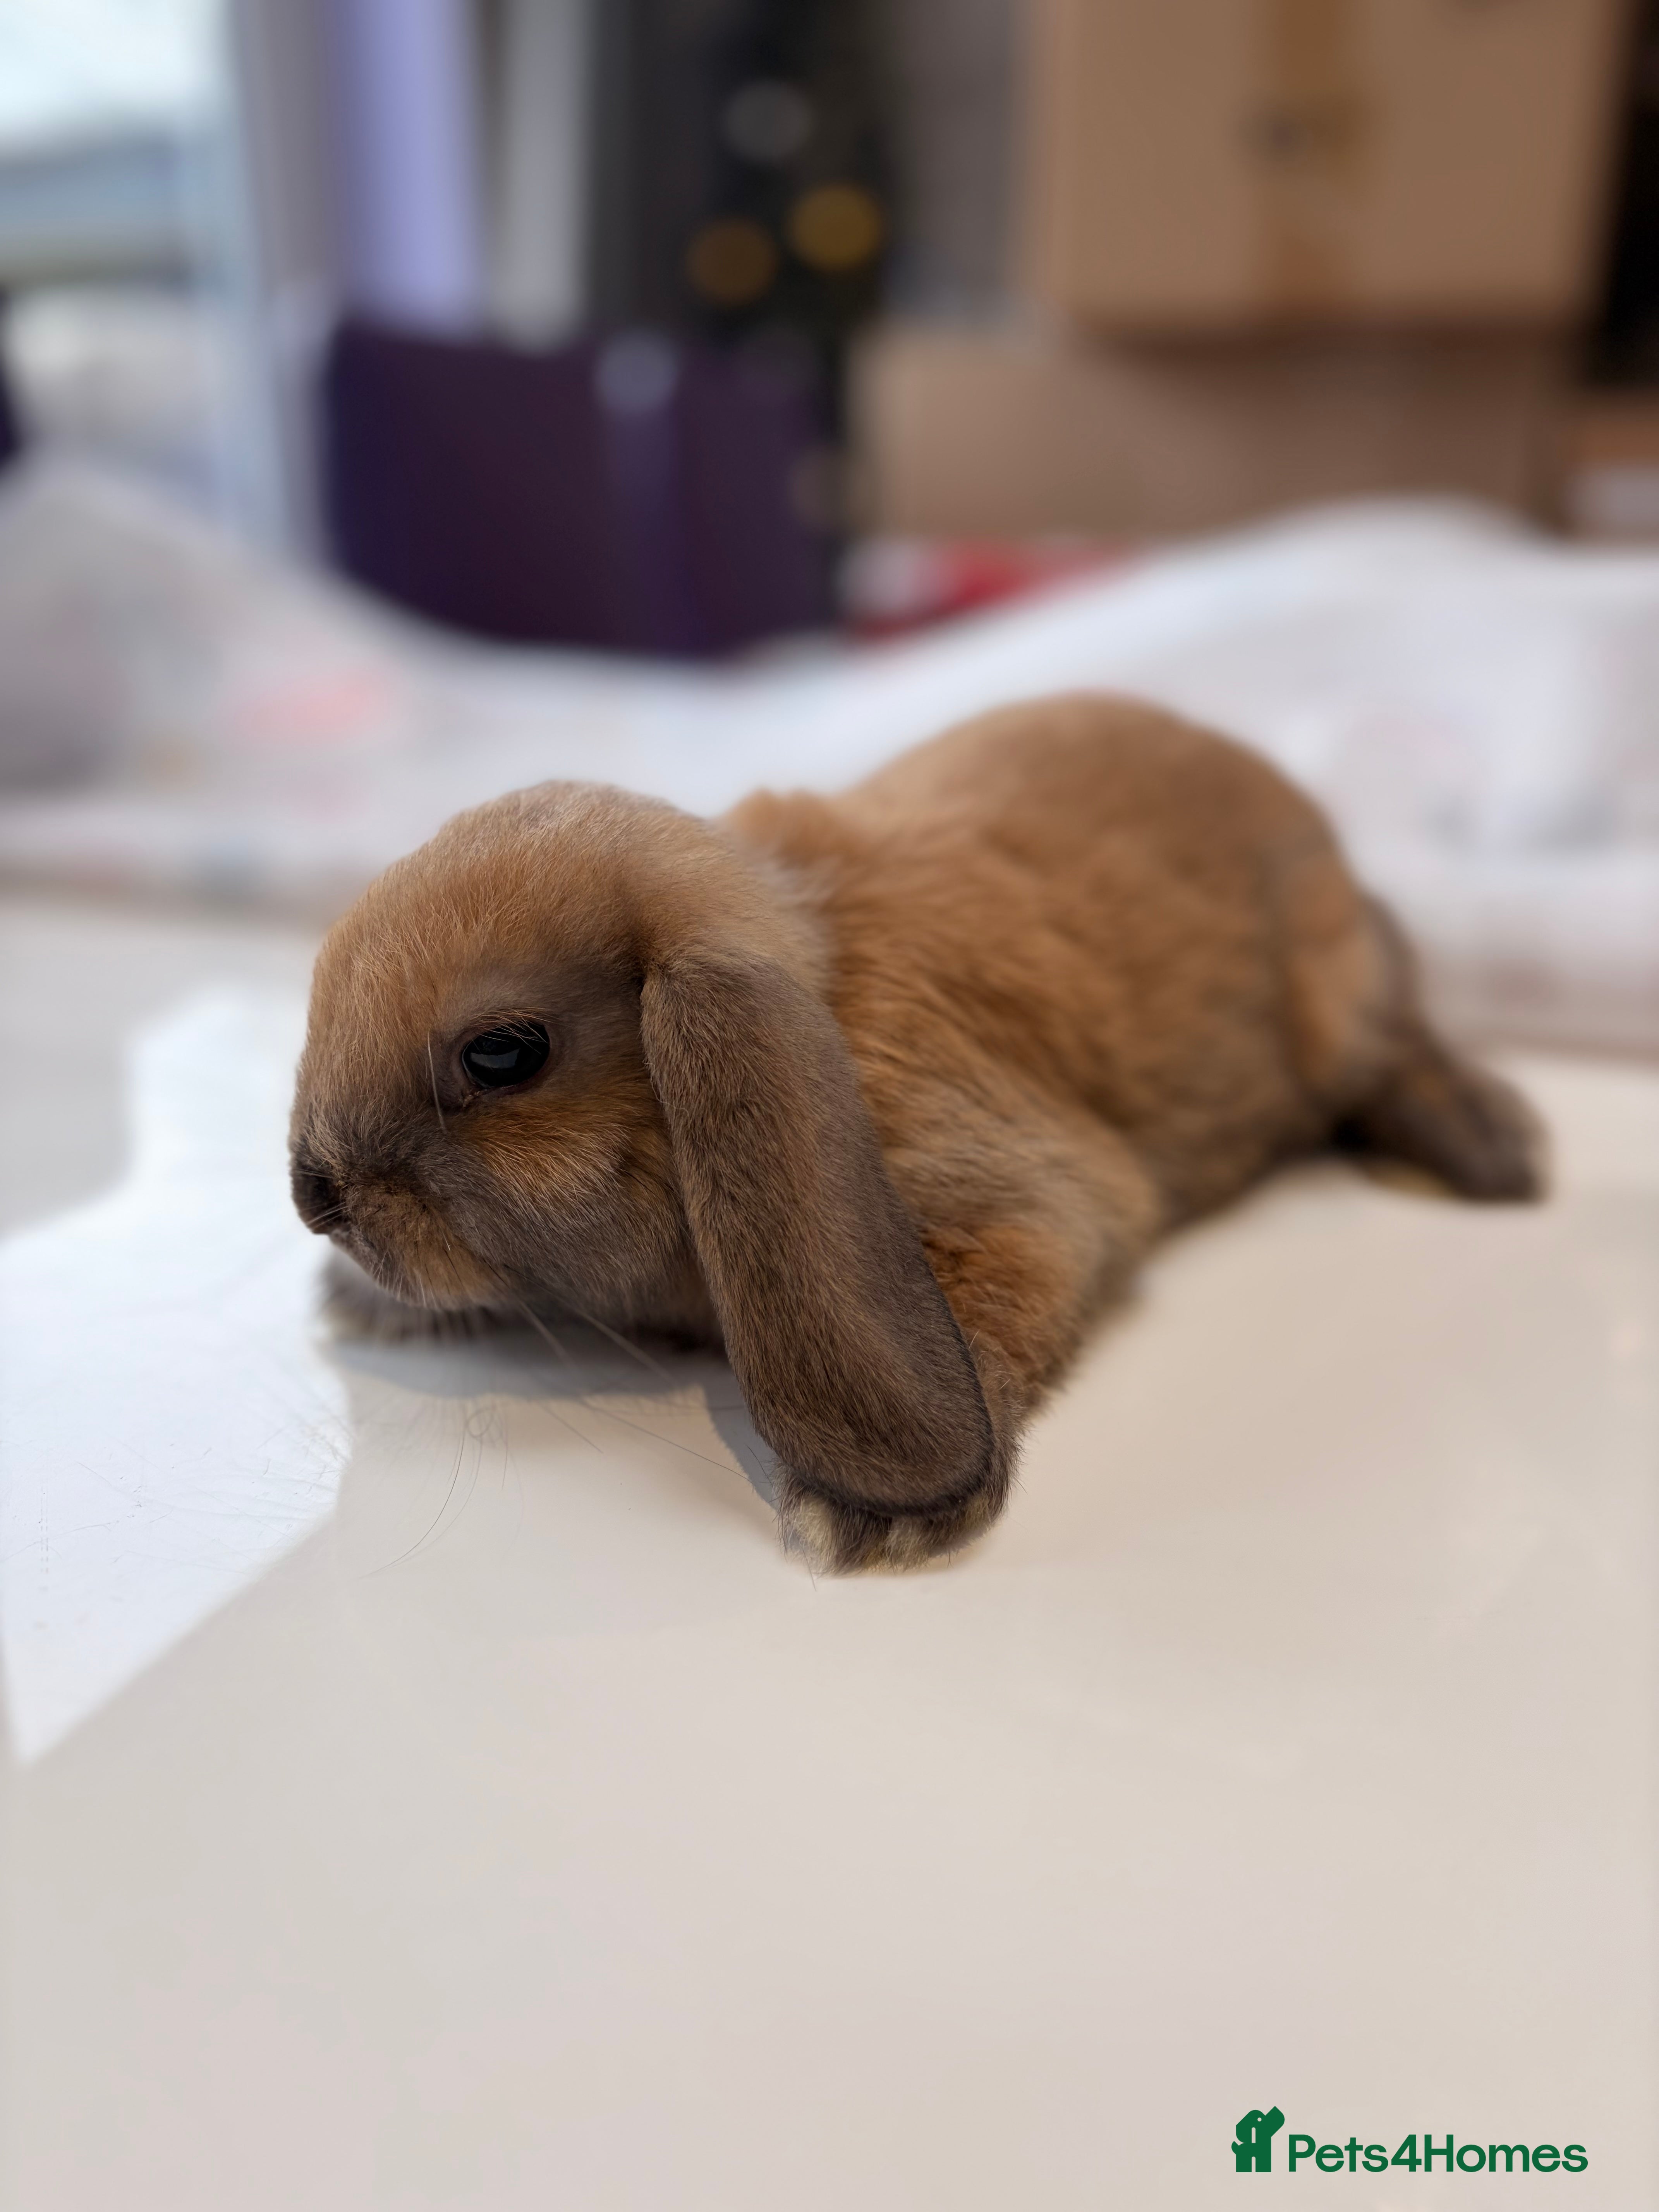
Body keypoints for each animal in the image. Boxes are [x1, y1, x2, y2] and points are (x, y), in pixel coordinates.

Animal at [290, 692, 1542, 1572]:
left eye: (503, 1054)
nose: (314, 1196)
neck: (828, 986)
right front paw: (355, 1308)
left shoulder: (1023, 1200)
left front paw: (866, 1527)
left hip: (1339, 1005)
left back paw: (1492, 1157)